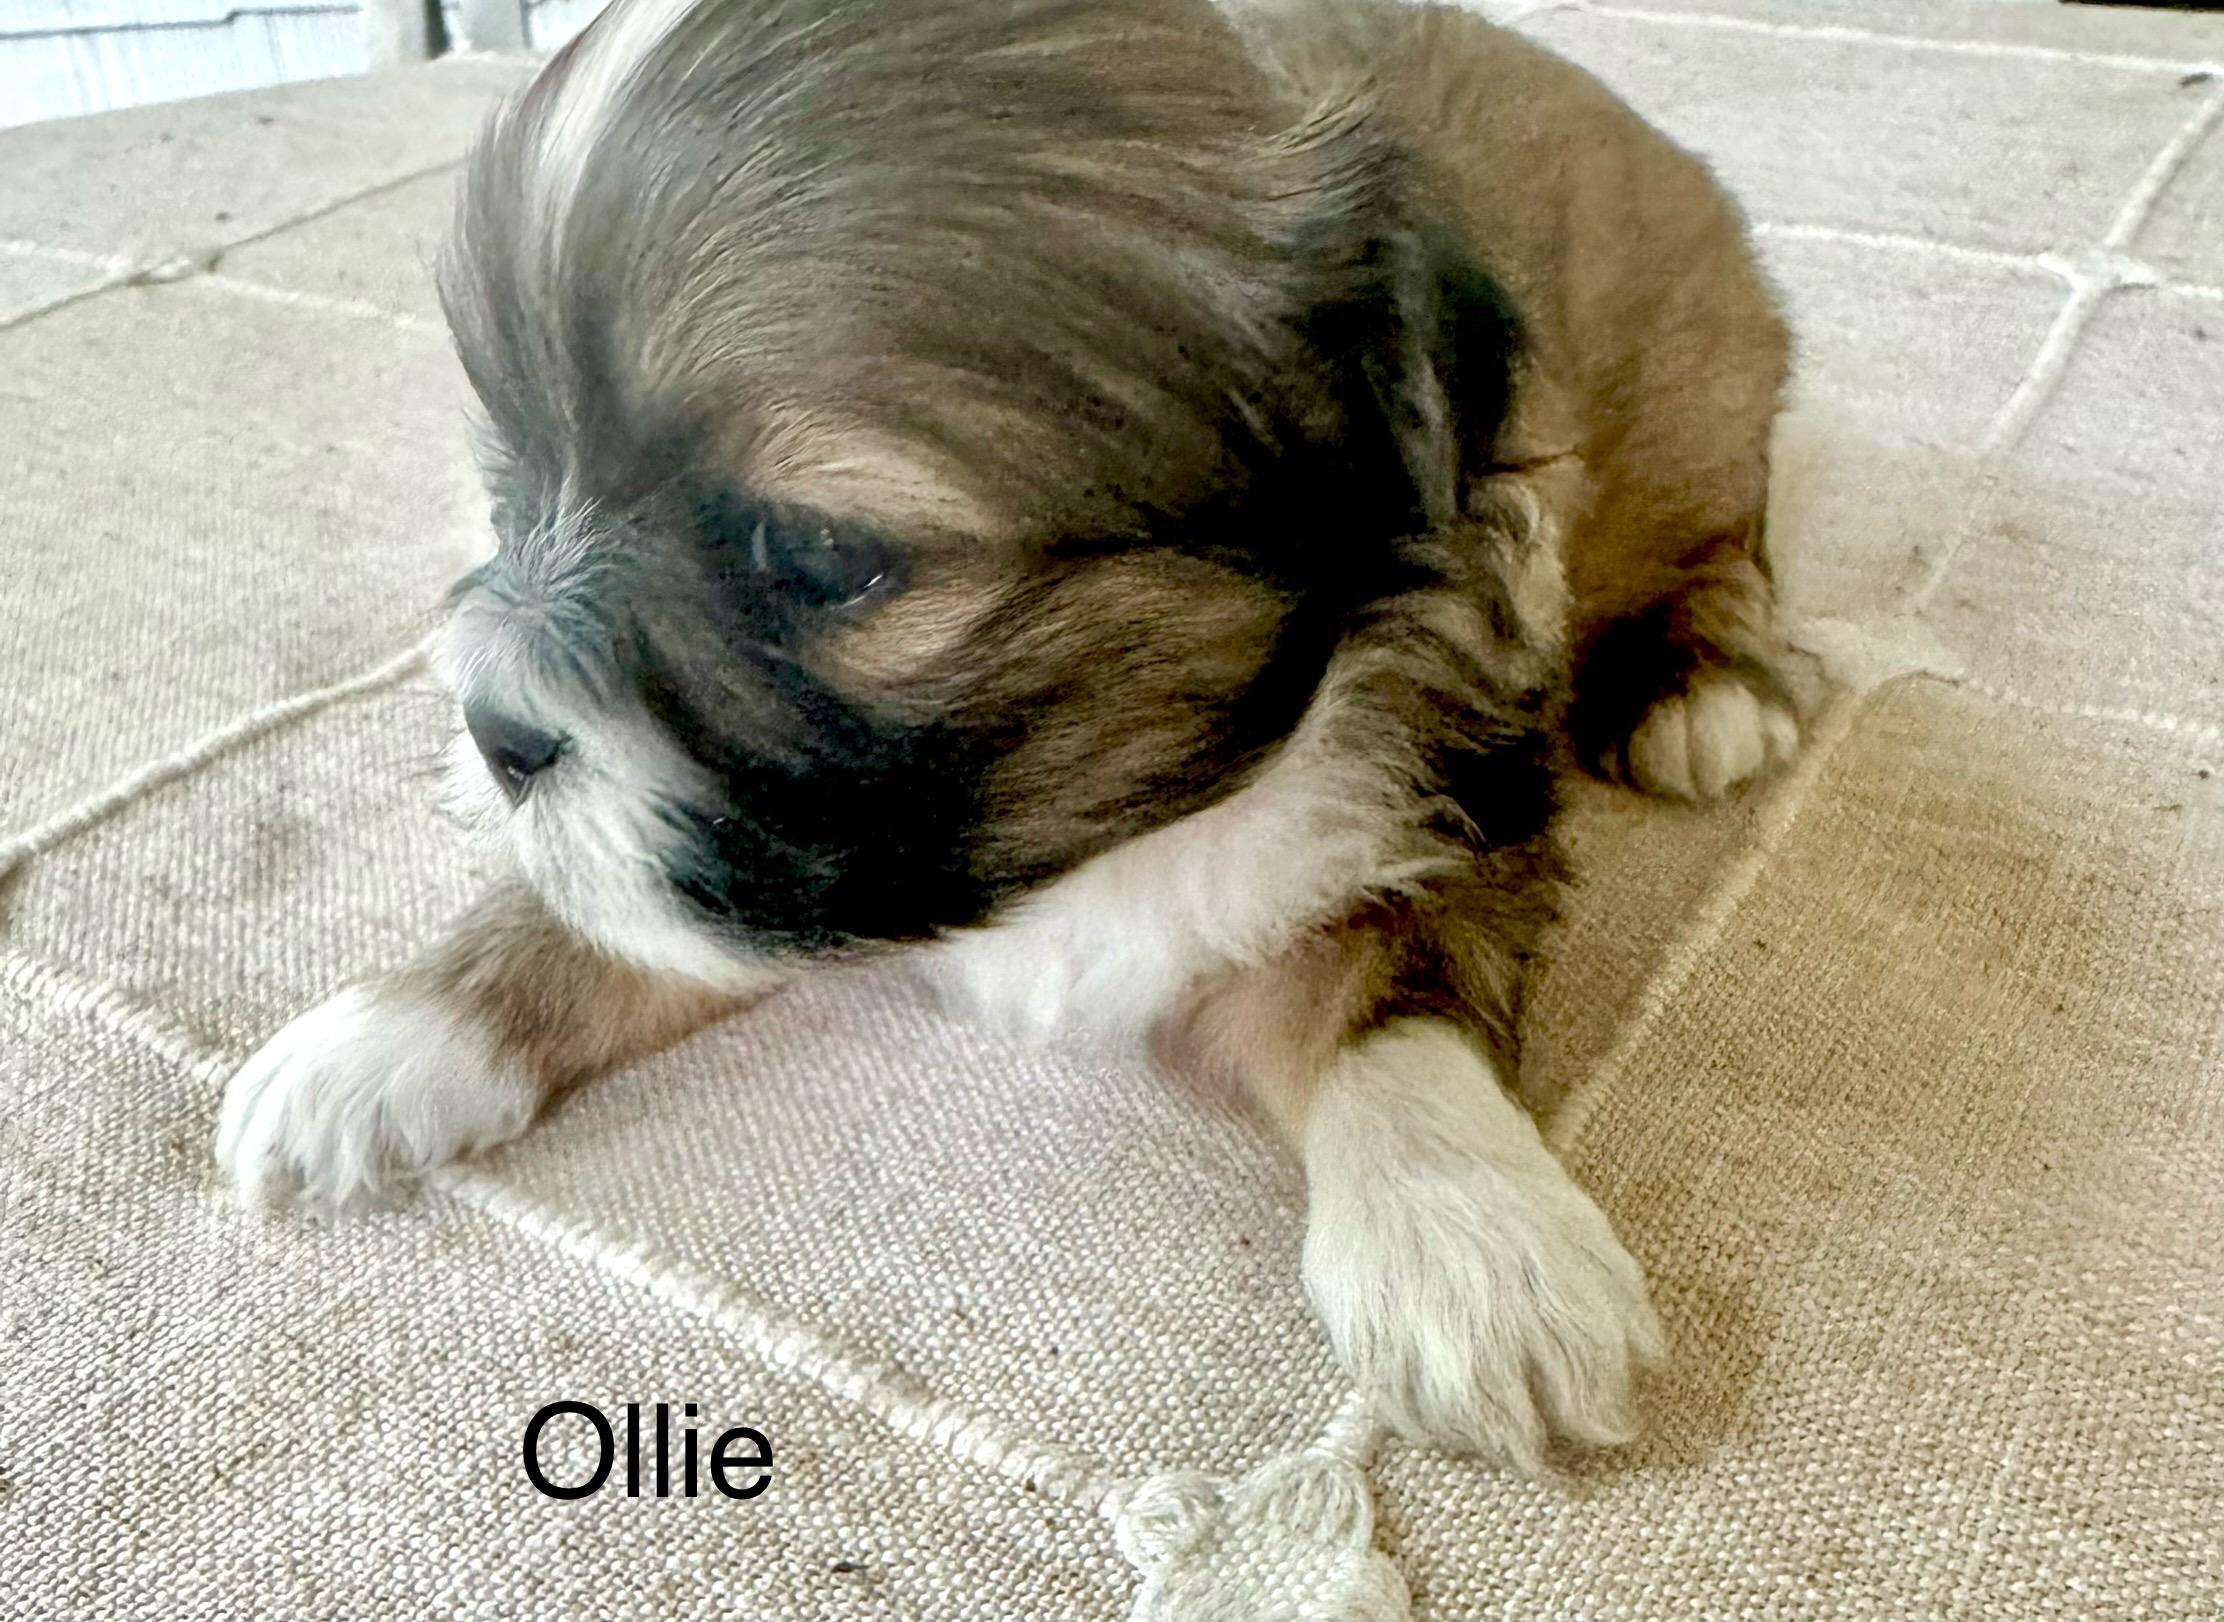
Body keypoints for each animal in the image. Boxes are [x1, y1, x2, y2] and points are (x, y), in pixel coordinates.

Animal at [216, 0, 1796, 1466]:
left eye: (818, 551)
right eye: (507, 488)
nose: (496, 730)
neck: (1080, 849)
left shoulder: (1444, 793)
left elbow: (1387, 1014)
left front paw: (1475, 1250)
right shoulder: (755, 869)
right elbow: (614, 913)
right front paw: (390, 1033)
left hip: (1704, 413)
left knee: (1728, 545)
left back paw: (1707, 684)